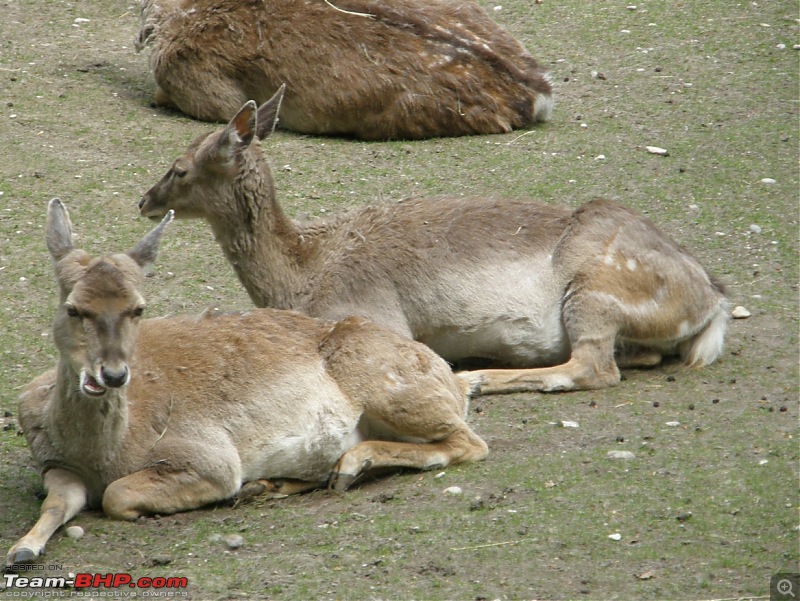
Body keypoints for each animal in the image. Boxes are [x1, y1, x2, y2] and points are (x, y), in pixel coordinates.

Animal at [4, 198, 488, 568]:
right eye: (73, 307)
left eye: (138, 307)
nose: (112, 374)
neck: (104, 452)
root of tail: (445, 373)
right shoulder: (53, 463)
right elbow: (56, 502)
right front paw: (21, 550)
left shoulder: (210, 458)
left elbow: (116, 495)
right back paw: (277, 484)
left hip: (392, 390)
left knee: (470, 442)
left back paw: (351, 465)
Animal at [139, 85, 732, 394]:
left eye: (180, 168)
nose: (143, 199)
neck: (304, 276)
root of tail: (713, 301)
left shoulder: (373, 312)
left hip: (595, 291)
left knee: (593, 367)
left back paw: (478, 378)